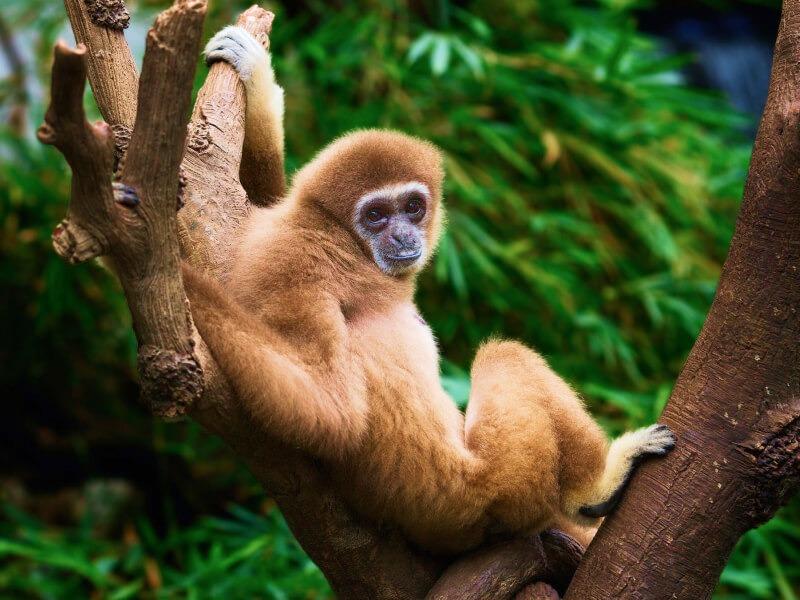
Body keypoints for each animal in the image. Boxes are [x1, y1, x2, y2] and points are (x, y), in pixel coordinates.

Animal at [179, 26, 677, 555]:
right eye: (376, 215)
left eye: (413, 207)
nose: (403, 236)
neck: (341, 241)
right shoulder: (295, 264)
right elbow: (329, 409)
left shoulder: (272, 231)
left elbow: (259, 202)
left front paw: (255, 81)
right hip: (497, 488)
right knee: (505, 355)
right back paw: (599, 486)